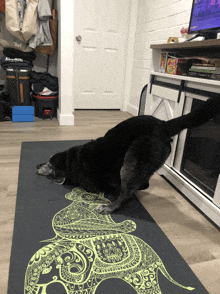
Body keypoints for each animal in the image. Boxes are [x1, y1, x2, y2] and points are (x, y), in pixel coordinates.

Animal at [37, 96, 220, 214]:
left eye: (49, 165)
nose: (37, 165)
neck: (71, 160)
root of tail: (163, 125)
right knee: (142, 185)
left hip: (132, 161)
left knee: (126, 191)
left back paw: (110, 207)